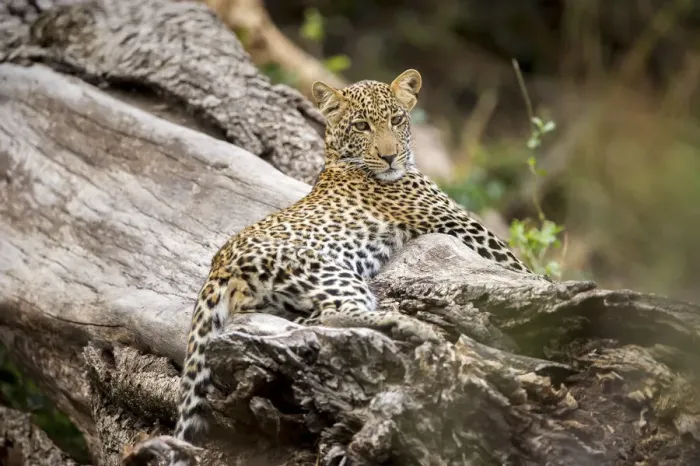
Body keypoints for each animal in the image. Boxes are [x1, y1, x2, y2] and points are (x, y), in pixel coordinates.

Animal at [170, 69, 545, 463]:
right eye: (362, 126)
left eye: (396, 120)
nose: (390, 157)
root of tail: (218, 265)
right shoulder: (465, 228)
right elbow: (521, 267)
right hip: (328, 271)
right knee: (339, 314)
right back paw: (410, 326)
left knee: (309, 321)